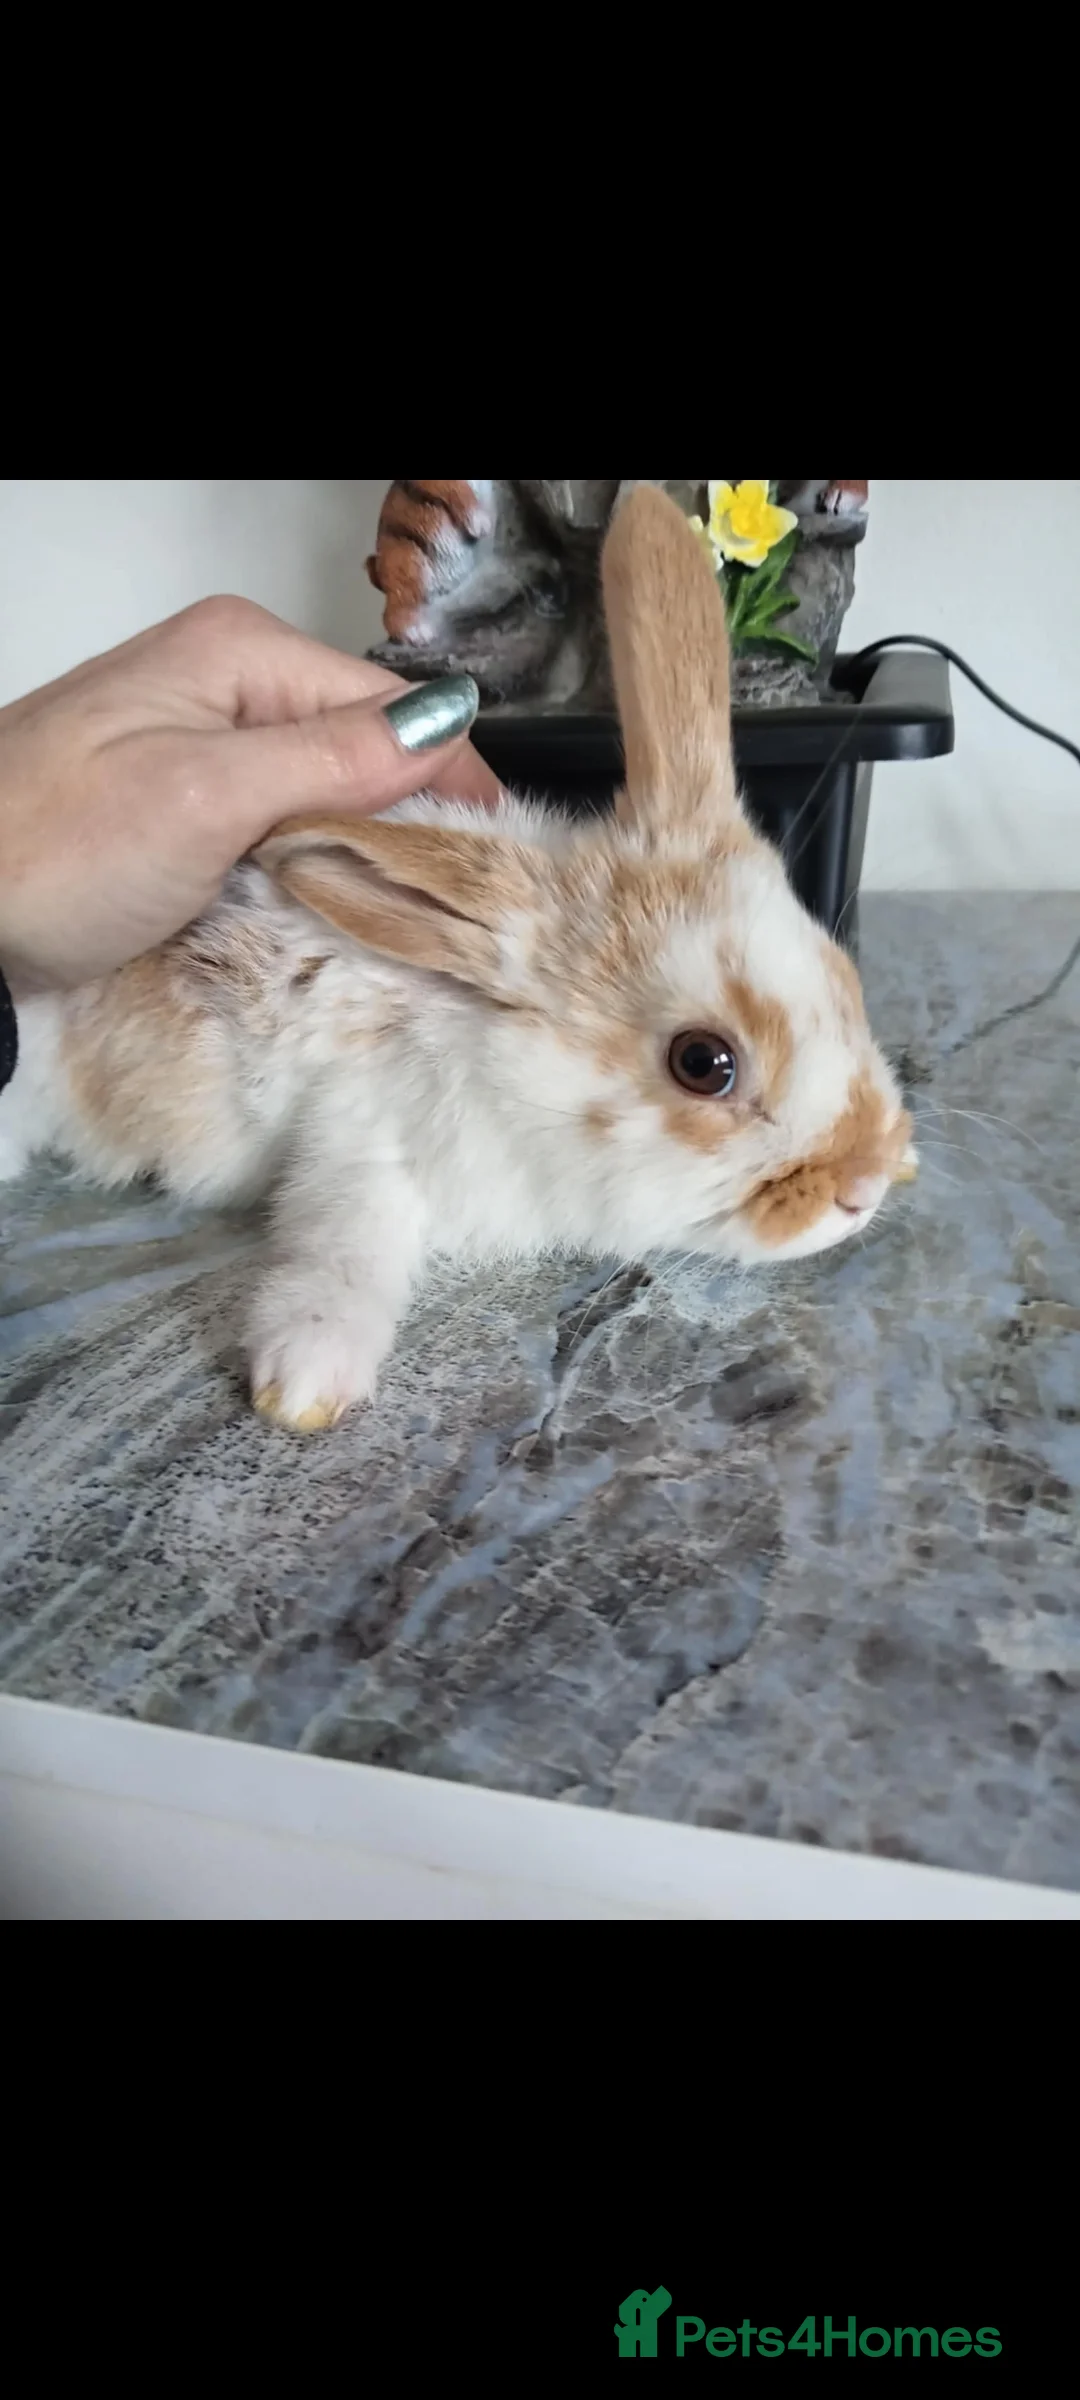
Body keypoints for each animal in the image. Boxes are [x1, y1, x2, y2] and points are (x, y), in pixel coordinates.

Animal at [1, 487, 915, 1433]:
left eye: (845, 977)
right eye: (705, 1064)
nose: (866, 1186)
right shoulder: (357, 1137)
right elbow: (343, 1246)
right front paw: (305, 1386)